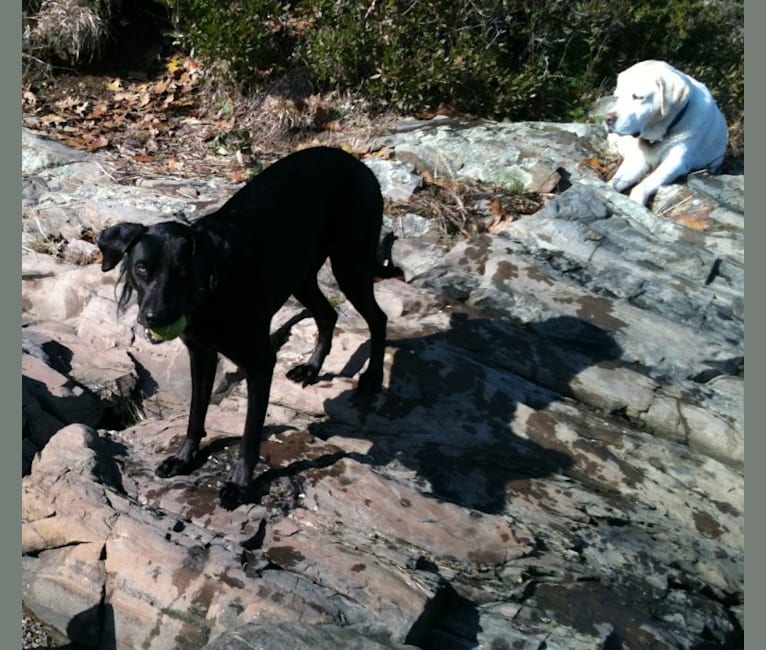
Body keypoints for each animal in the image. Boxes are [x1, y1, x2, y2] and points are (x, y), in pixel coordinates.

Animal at [97, 146, 390, 506]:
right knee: (328, 315)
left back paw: (372, 377)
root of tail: (353, 160)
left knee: (378, 318)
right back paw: (311, 367)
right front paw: (184, 458)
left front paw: (240, 484)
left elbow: (250, 436)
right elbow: (196, 414)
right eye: (141, 268)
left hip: (351, 265)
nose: (154, 318)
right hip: (302, 277)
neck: (212, 292)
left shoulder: (260, 364)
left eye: (183, 274)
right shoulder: (201, 354)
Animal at [608, 60, 728, 205]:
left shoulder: (675, 162)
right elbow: (614, 182)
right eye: (617, 97)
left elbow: (643, 185)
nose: (607, 119)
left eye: (637, 97)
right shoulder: (638, 160)